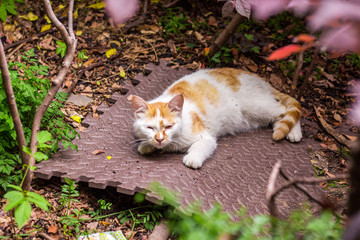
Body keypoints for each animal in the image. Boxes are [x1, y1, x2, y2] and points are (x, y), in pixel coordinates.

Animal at [131, 67, 302, 169]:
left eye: (168, 126)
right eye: (150, 128)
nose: (159, 139)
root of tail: (261, 80)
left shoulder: (206, 137)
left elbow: (200, 146)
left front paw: (192, 158)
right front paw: (146, 145)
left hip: (257, 106)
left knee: (286, 109)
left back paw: (294, 133)